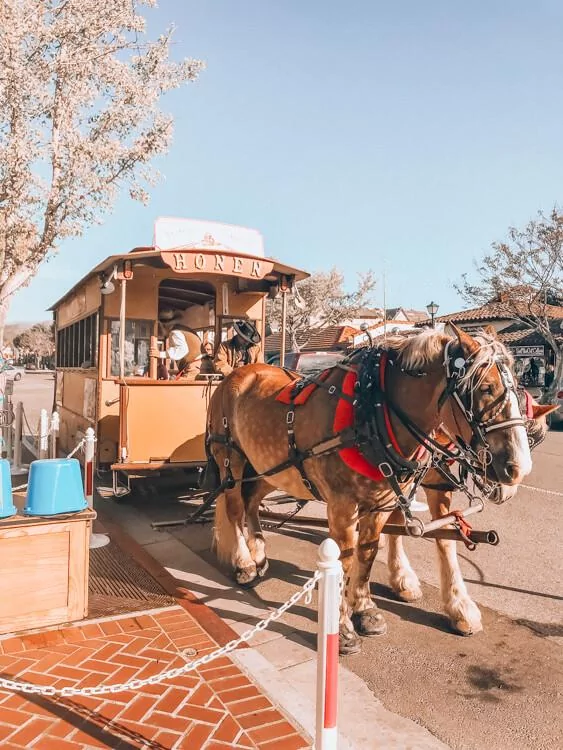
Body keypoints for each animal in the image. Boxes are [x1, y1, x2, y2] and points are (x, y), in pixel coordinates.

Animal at [207, 328, 532, 652]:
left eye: (518, 390)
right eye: (486, 388)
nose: (519, 468)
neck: (370, 410)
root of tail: (240, 374)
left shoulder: (383, 501)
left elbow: (368, 553)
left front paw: (365, 608)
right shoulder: (342, 504)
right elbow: (344, 559)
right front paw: (340, 627)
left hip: (271, 466)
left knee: (251, 501)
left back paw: (259, 552)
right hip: (231, 460)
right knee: (235, 507)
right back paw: (245, 563)